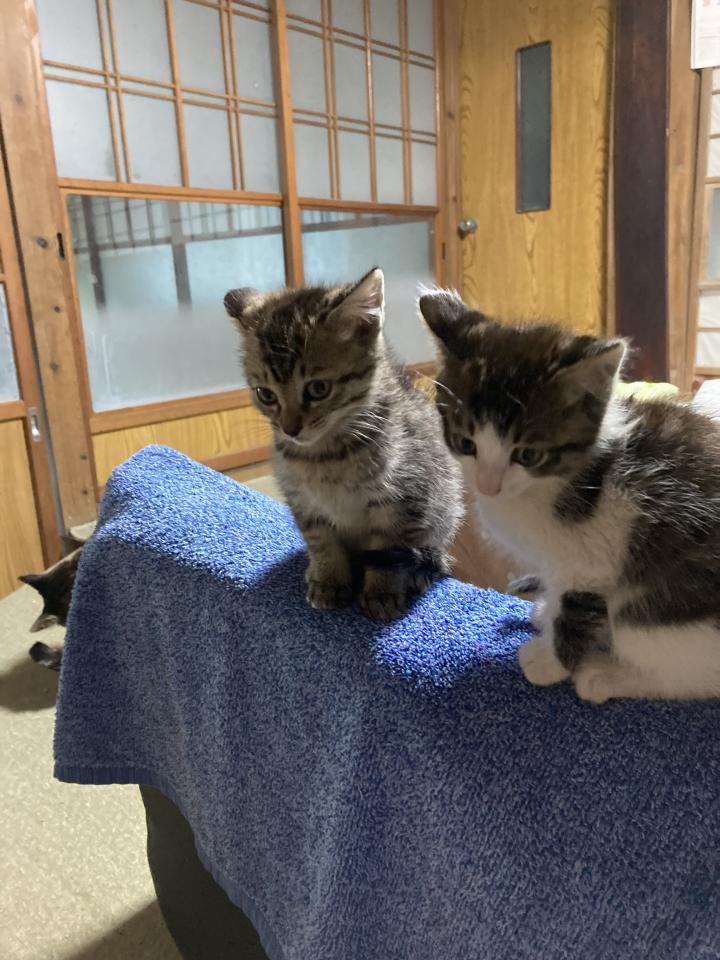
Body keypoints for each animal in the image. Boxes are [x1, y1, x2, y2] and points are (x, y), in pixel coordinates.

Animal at [225, 267, 464, 621]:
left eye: (318, 389)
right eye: (265, 395)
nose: (290, 429)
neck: (325, 455)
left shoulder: (403, 499)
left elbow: (389, 549)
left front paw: (382, 592)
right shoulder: (303, 502)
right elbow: (321, 542)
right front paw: (329, 581)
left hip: (444, 512)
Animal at [419, 289, 720, 703]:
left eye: (528, 455)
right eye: (465, 443)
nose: (487, 486)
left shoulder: (592, 561)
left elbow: (576, 610)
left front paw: (550, 663)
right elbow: (560, 592)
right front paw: (546, 615)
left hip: (659, 609)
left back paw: (607, 675)